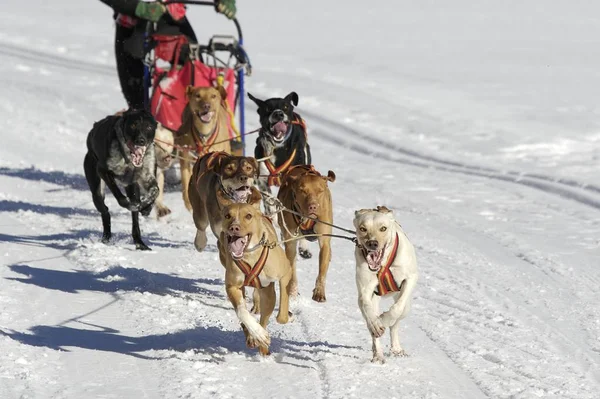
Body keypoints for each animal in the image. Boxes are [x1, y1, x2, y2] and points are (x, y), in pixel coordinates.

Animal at [84, 106, 161, 250]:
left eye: (148, 126)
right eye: (133, 125)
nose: (141, 141)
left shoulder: (145, 176)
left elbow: (155, 191)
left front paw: (146, 208)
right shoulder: (103, 171)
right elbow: (121, 198)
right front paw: (131, 204)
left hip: (132, 187)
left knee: (135, 221)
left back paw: (139, 243)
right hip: (97, 191)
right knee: (105, 211)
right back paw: (106, 237)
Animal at [176, 86, 232, 214]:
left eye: (213, 96)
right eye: (198, 96)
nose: (206, 105)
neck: (204, 135)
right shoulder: (184, 156)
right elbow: (185, 179)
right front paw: (188, 202)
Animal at [220, 203, 296, 356]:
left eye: (248, 216)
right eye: (227, 215)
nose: (234, 227)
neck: (249, 255)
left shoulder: (286, 273)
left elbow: (281, 315)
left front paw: (288, 315)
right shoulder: (232, 286)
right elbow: (242, 312)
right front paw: (257, 333)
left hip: (268, 294)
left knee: (265, 318)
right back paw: (254, 337)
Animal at [278, 164, 336, 302]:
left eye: (320, 190)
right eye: (302, 190)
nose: (313, 206)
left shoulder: (324, 240)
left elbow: (322, 270)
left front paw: (319, 291)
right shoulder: (290, 243)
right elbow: (292, 270)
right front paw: (292, 292)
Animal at [352, 208, 418, 364]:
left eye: (383, 228)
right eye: (363, 228)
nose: (372, 243)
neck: (382, 264)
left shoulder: (411, 278)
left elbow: (396, 309)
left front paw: (384, 319)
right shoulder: (365, 289)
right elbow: (365, 305)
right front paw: (376, 324)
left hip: (407, 308)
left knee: (395, 323)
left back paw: (396, 348)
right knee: (372, 327)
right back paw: (378, 354)